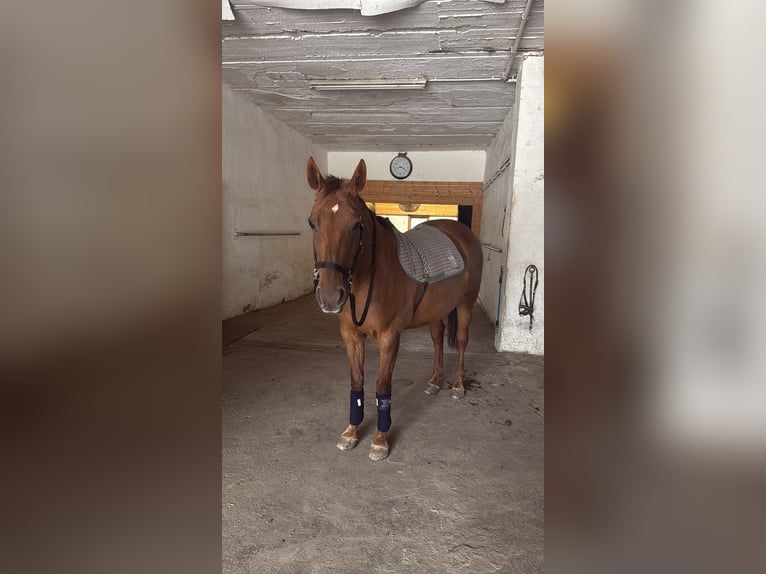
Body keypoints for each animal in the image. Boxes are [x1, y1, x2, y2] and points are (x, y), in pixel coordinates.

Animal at [306, 157, 483, 461]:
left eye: (356, 224)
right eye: (312, 223)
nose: (330, 297)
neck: (370, 277)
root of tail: (462, 234)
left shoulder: (390, 338)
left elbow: (382, 386)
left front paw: (380, 440)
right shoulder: (351, 336)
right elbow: (357, 382)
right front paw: (351, 432)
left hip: (465, 304)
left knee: (460, 341)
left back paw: (457, 385)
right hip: (436, 311)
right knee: (437, 338)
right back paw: (435, 381)